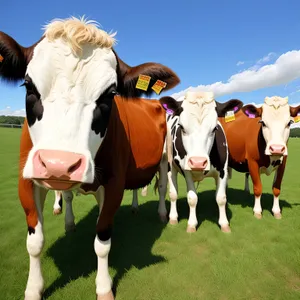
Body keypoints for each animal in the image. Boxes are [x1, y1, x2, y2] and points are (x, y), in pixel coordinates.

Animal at [0, 17, 179, 300]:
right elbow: (35, 241)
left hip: (164, 159)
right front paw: (34, 288)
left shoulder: (114, 183)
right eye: (28, 85)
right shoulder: (26, 182)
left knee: (161, 187)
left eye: (110, 95)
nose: (58, 164)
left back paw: (163, 214)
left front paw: (104, 287)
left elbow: (102, 240)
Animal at [157, 91, 244, 232]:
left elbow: (221, 198)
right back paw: (170, 216)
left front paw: (224, 224)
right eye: (182, 127)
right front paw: (192, 224)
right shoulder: (186, 170)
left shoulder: (223, 170)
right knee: (168, 190)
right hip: (167, 164)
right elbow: (192, 198)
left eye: (214, 128)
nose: (198, 162)